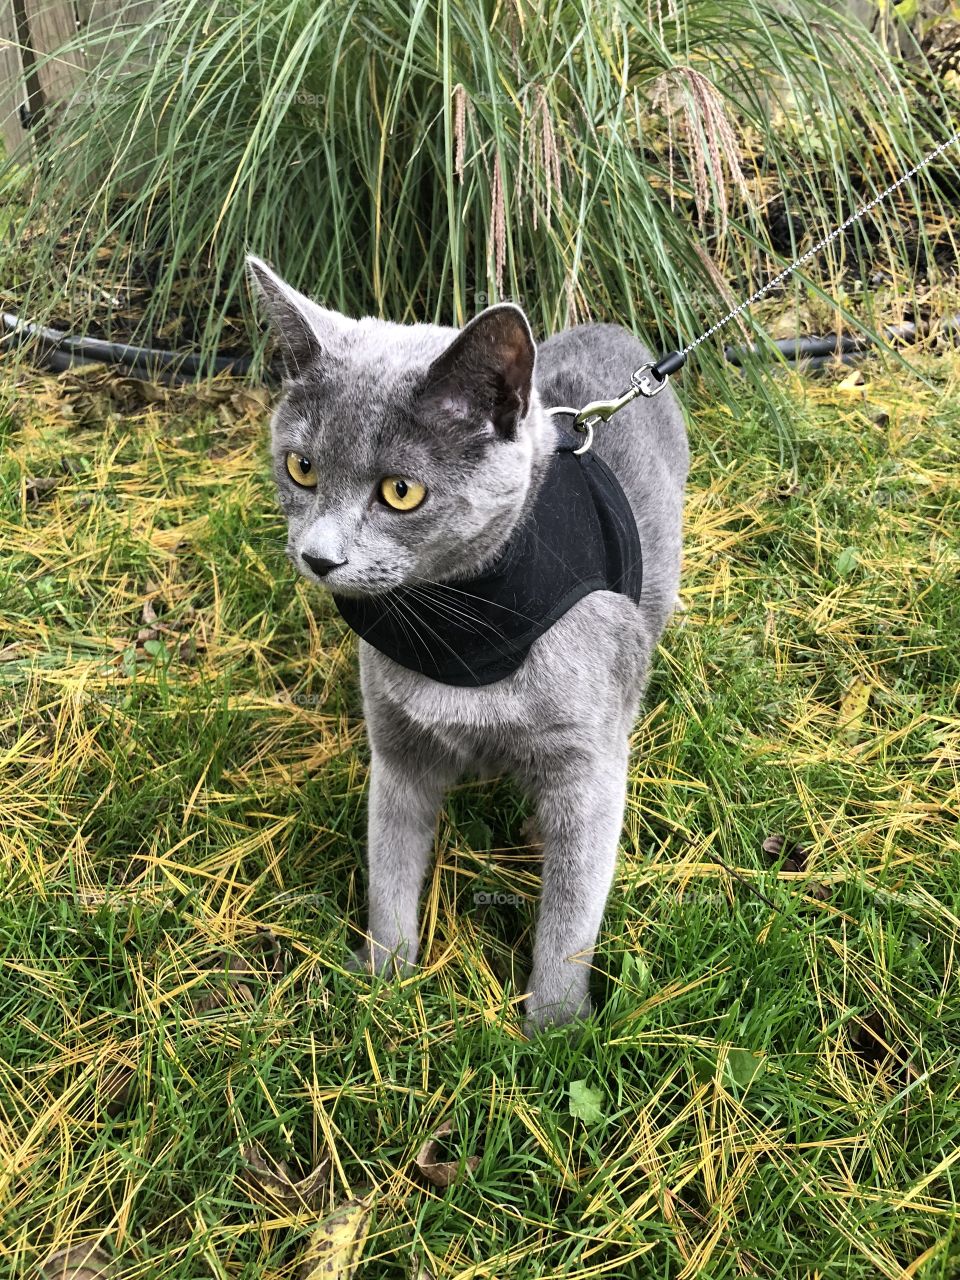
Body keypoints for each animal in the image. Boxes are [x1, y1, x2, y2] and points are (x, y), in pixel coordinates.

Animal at [244, 257, 686, 1029]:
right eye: (301, 468)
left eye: (400, 491)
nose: (319, 558)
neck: (460, 624)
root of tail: (610, 324)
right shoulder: (398, 748)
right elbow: (389, 869)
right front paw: (384, 983)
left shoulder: (588, 766)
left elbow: (571, 912)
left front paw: (554, 1027)